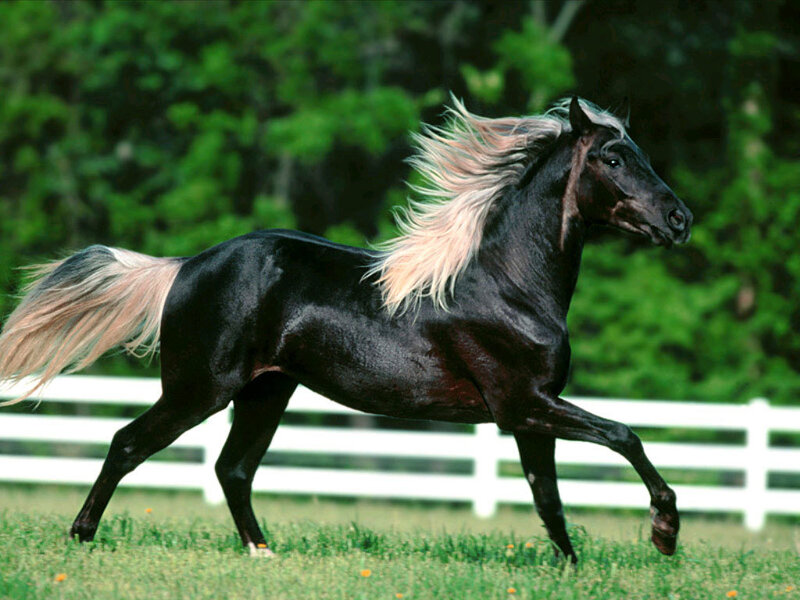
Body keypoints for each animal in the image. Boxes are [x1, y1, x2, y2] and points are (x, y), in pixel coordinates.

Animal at [0, 97, 692, 562]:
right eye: (613, 157)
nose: (680, 220)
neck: (509, 284)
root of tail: (186, 266)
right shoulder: (523, 403)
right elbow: (625, 436)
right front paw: (665, 533)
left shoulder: (530, 412)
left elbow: (548, 497)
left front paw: (572, 567)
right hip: (200, 390)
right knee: (128, 444)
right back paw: (81, 537)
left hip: (265, 391)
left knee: (233, 469)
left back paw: (263, 553)